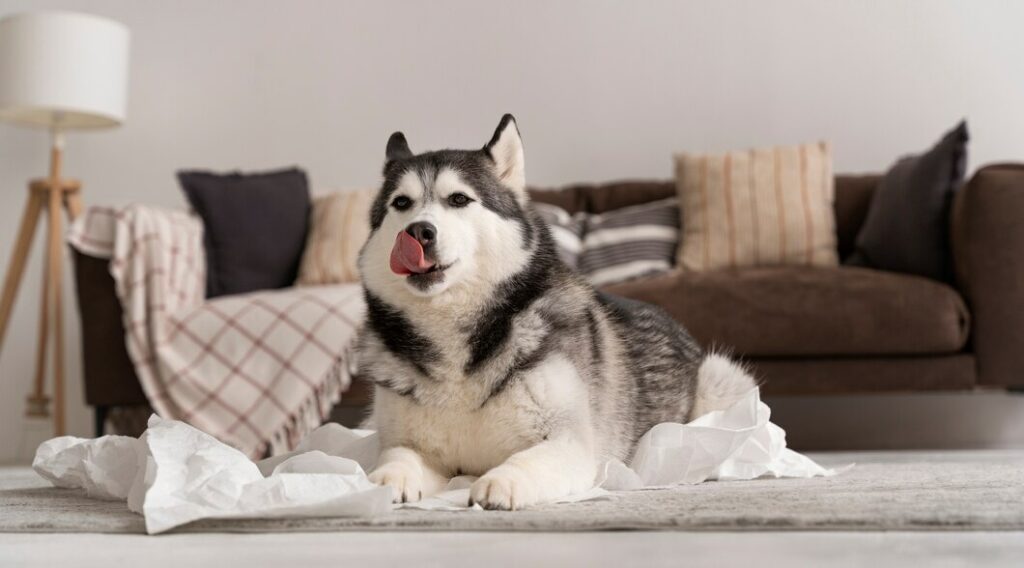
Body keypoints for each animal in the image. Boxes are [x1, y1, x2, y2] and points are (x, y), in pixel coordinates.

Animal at [356, 115, 757, 511]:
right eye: (401, 203)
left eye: (458, 199)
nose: (418, 231)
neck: (455, 335)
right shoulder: (411, 444)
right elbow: (398, 456)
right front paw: (382, 481)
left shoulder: (570, 442)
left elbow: (529, 459)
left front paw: (502, 481)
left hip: (718, 379)